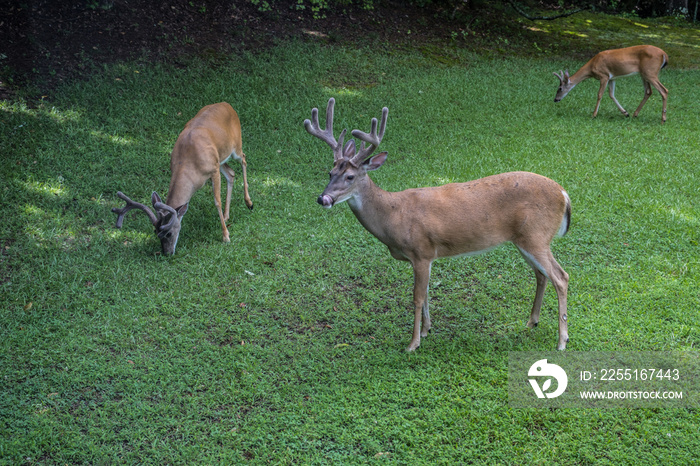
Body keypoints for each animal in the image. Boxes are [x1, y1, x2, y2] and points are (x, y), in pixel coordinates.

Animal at [109, 102, 252, 255]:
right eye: (155, 231)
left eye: (169, 233)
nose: (167, 253)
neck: (189, 163)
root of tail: (227, 104)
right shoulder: (212, 165)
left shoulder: (213, 170)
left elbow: (216, 202)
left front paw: (225, 236)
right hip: (220, 158)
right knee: (231, 173)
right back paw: (226, 216)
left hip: (235, 146)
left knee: (244, 159)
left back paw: (249, 203)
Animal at [306, 98, 576, 352]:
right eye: (330, 173)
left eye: (350, 176)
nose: (323, 198)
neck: (393, 215)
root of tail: (563, 194)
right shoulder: (424, 257)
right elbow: (426, 294)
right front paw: (427, 330)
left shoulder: (421, 251)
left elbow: (417, 297)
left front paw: (413, 343)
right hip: (524, 240)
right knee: (541, 275)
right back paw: (532, 322)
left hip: (536, 236)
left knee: (561, 277)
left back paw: (562, 340)